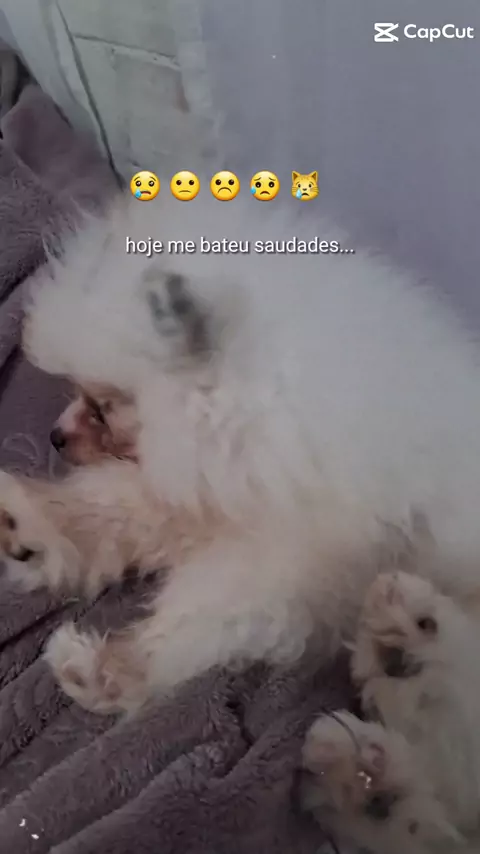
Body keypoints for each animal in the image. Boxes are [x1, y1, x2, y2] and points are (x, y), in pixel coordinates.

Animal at [2, 194, 480, 716]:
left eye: (103, 409)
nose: (55, 436)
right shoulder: (200, 492)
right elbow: (106, 509)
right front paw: (29, 526)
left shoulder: (287, 559)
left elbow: (203, 617)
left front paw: (108, 671)